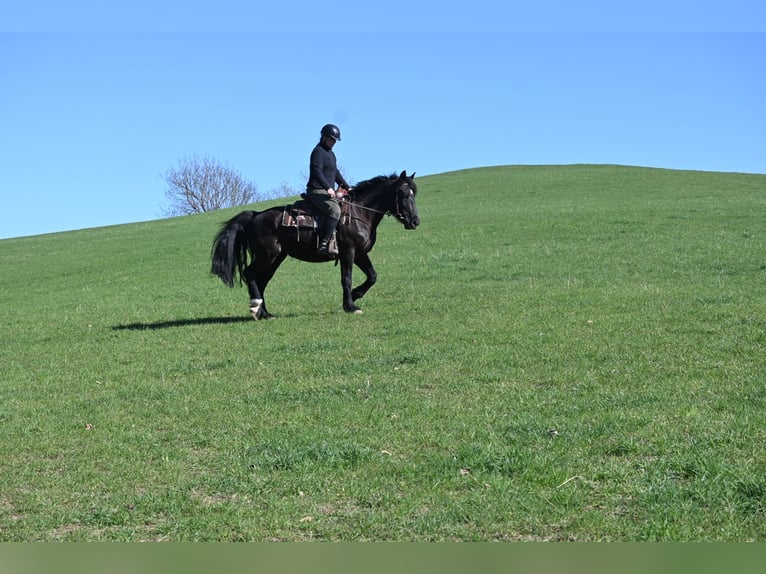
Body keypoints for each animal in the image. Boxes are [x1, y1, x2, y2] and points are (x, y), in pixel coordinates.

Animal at [211, 170, 420, 319]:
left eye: (414, 194)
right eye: (403, 194)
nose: (415, 221)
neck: (359, 213)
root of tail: (255, 215)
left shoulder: (360, 253)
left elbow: (372, 276)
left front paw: (355, 295)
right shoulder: (349, 251)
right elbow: (347, 279)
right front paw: (350, 306)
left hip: (275, 258)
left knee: (261, 281)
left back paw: (265, 313)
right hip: (267, 256)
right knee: (250, 275)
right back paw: (255, 308)